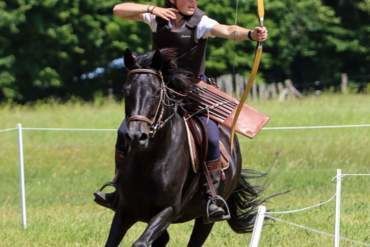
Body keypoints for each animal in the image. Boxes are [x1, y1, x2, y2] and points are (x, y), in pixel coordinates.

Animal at [104, 49, 260, 246]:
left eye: (157, 92)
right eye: (126, 91)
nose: (136, 136)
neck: (149, 161)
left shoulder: (168, 210)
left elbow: (141, 242)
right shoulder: (125, 210)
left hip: (205, 220)